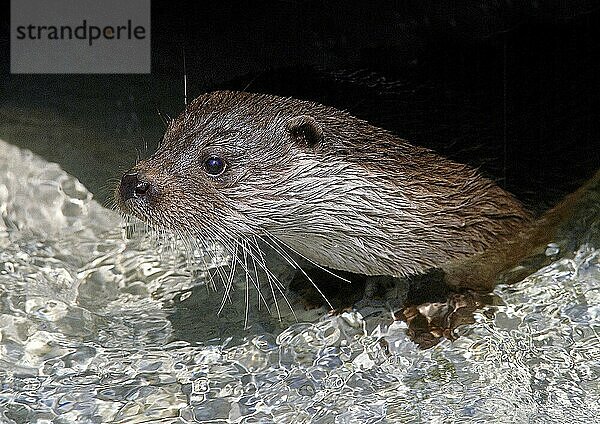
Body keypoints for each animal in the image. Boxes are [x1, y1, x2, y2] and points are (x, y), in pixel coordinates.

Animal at [116, 90, 580, 294]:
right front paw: (326, 284)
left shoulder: (500, 223)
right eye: (164, 139)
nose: (134, 182)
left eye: (214, 164)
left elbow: (478, 274)